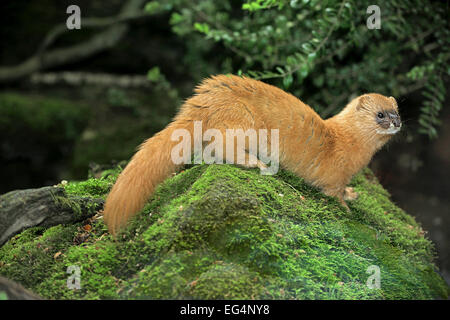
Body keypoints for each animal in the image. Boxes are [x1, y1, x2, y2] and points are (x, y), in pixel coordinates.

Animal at [103, 75, 402, 235]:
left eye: (398, 110)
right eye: (380, 114)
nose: (397, 123)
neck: (348, 143)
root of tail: (201, 102)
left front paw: (353, 193)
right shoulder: (335, 173)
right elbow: (332, 190)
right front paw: (345, 206)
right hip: (241, 121)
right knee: (222, 147)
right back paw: (254, 162)